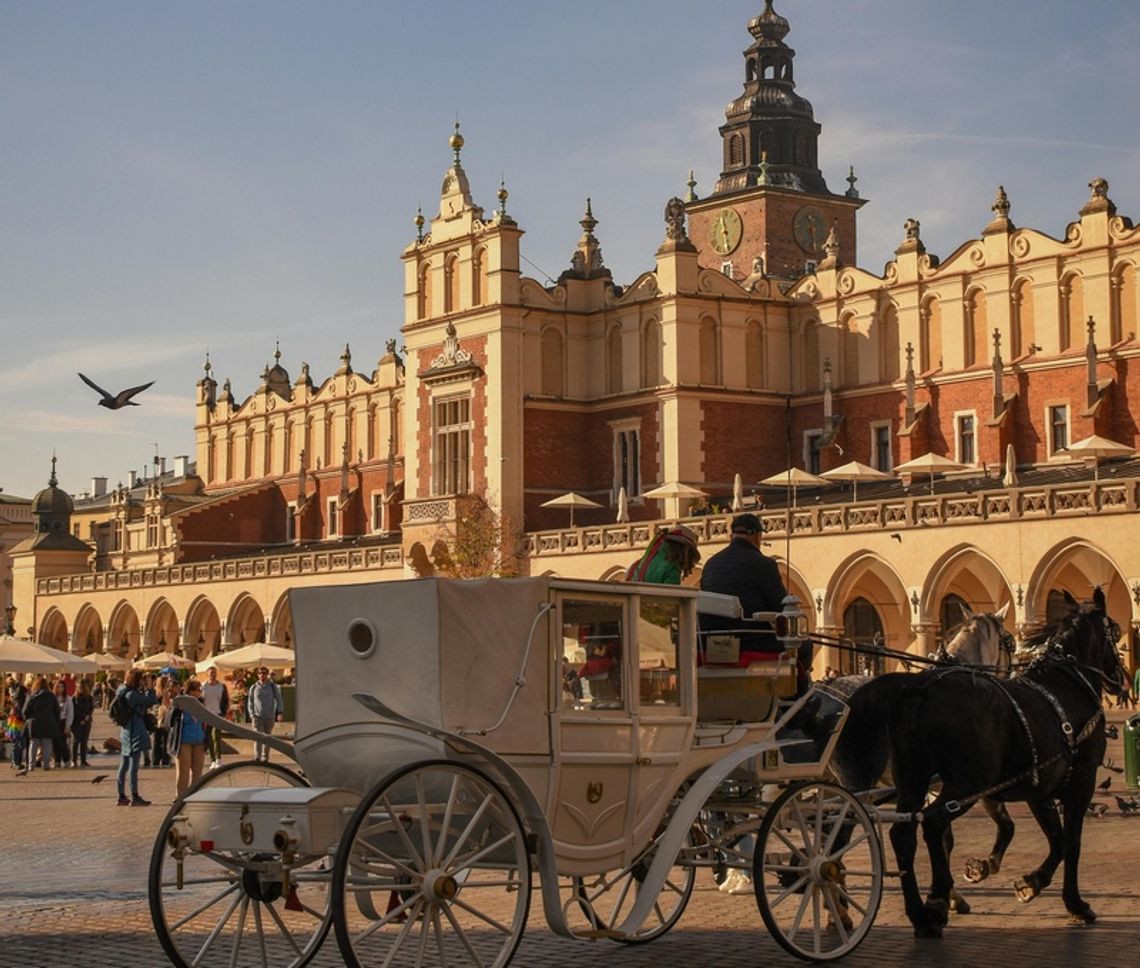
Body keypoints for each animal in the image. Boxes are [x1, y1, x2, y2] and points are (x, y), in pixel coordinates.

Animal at [834, 588, 1126, 934]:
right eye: (1114, 631)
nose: (1119, 680)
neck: (1066, 685)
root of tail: (916, 690)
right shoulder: (1080, 782)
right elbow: (1071, 842)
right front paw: (1075, 904)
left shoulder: (1037, 785)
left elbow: (1051, 838)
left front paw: (1028, 882)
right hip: (963, 783)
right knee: (930, 824)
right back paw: (931, 902)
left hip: (910, 779)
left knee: (897, 835)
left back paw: (910, 913)